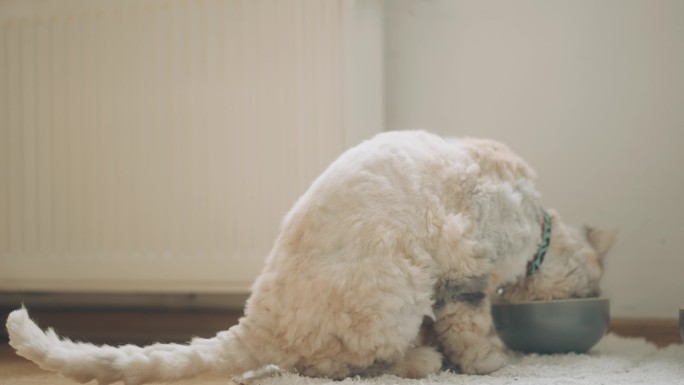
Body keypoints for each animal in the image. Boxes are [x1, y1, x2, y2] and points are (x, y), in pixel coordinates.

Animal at [5, 130, 616, 382]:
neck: (535, 221)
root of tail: (257, 318)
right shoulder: (463, 257)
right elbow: (469, 322)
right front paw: (489, 361)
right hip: (399, 284)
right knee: (337, 366)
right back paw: (420, 362)